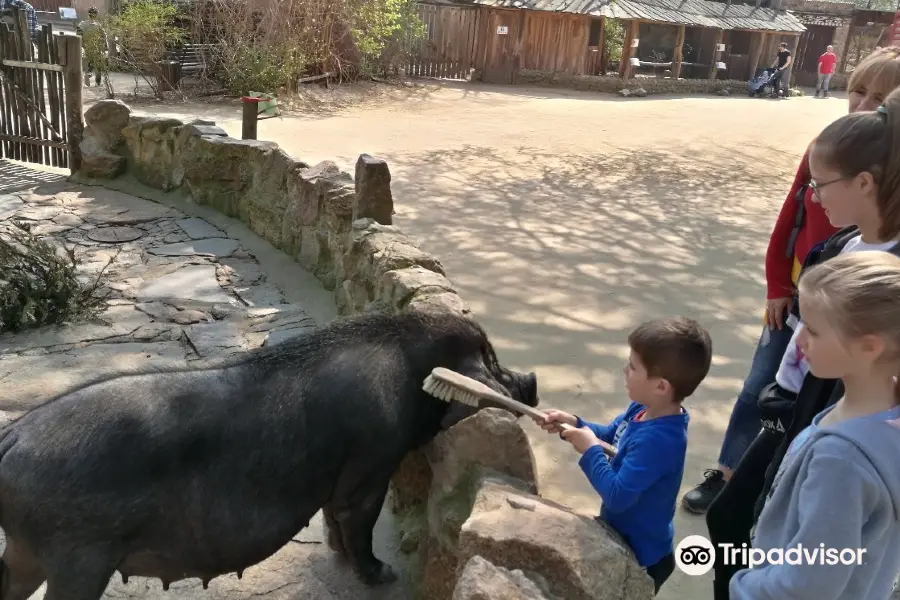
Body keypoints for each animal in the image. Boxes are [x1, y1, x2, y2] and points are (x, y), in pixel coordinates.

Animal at [0, 310, 536, 600]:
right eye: (490, 363)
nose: (530, 379)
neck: (411, 370)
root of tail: (13, 436)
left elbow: (334, 519)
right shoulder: (370, 463)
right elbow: (358, 522)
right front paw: (381, 575)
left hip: (28, 551)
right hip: (78, 556)